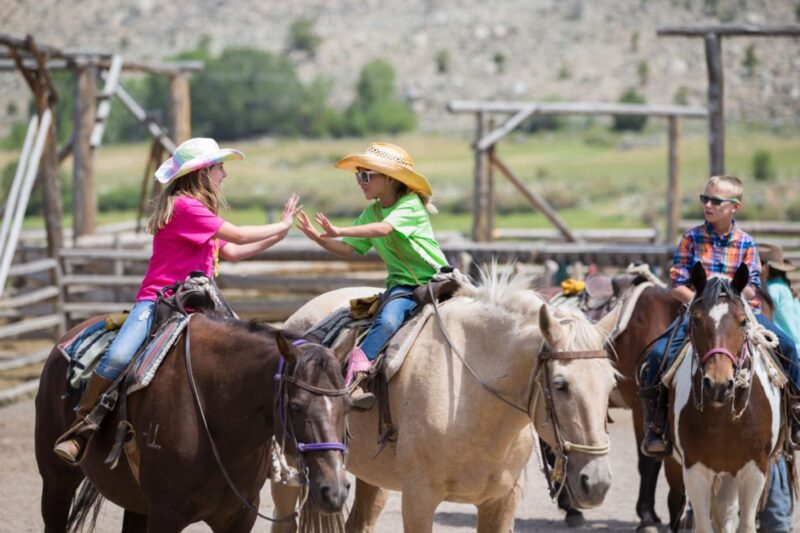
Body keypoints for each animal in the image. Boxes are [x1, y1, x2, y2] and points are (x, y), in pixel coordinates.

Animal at [35, 312, 354, 532]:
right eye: (297, 406)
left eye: (348, 406)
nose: (334, 491)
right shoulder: (165, 515)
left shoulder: (240, 516)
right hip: (56, 480)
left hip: (136, 503)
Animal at [270, 268, 620, 528]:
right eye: (561, 384)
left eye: (610, 384)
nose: (596, 482)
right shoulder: (419, 499)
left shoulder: (502, 502)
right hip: (290, 473)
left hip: (371, 476)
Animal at [668, 262, 780, 532]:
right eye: (695, 320)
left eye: (742, 321)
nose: (718, 385)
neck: (722, 418)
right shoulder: (694, 470)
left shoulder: (755, 470)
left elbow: (746, 525)